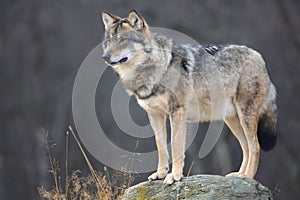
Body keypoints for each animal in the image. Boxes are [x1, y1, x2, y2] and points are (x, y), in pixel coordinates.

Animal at [102, 9, 278, 184]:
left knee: (255, 146)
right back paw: (240, 175)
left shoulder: (177, 111)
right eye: (109, 41)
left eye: (123, 40)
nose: (104, 57)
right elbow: (161, 146)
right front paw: (160, 174)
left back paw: (248, 176)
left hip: (245, 115)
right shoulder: (154, 114)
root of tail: (258, 56)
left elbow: (176, 146)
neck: (157, 69)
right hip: (232, 120)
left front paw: (174, 176)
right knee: (246, 147)